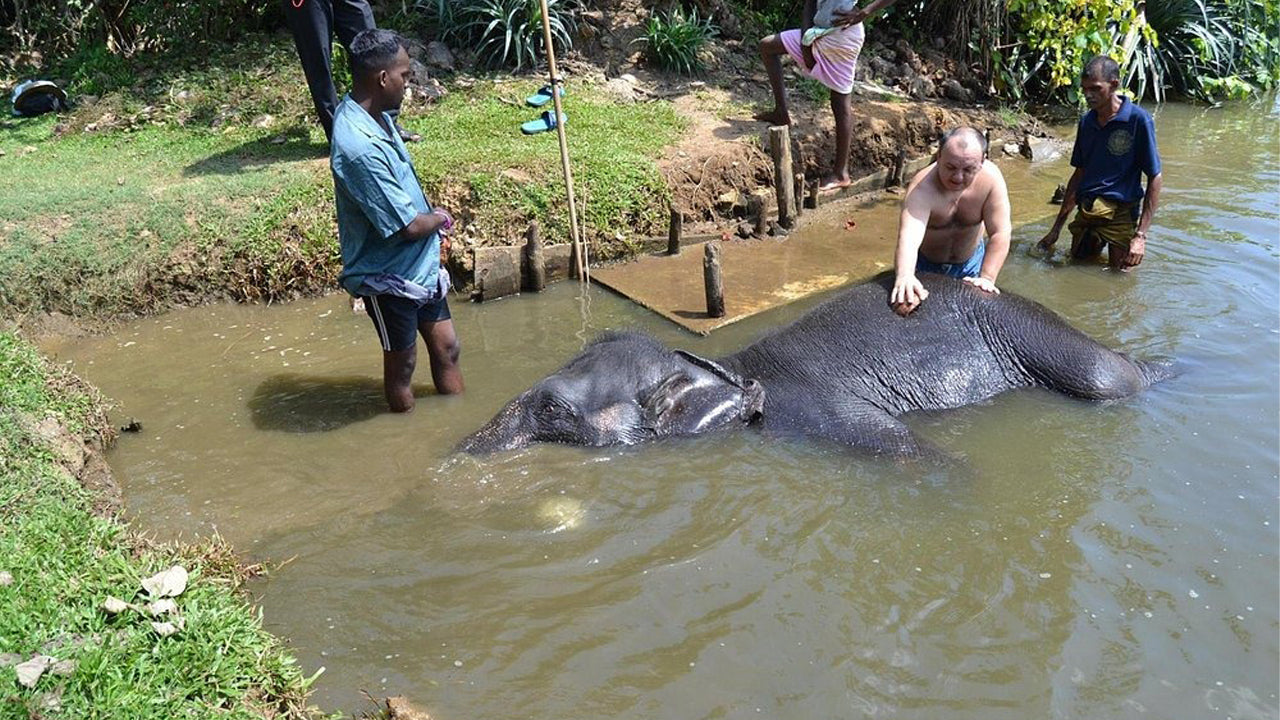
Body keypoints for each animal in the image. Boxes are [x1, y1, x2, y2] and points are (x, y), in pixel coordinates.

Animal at [458, 273, 1173, 456]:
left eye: (553, 410)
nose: (461, 449)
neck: (721, 365)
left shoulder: (810, 409)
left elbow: (899, 446)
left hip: (1033, 336)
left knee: (1109, 379)